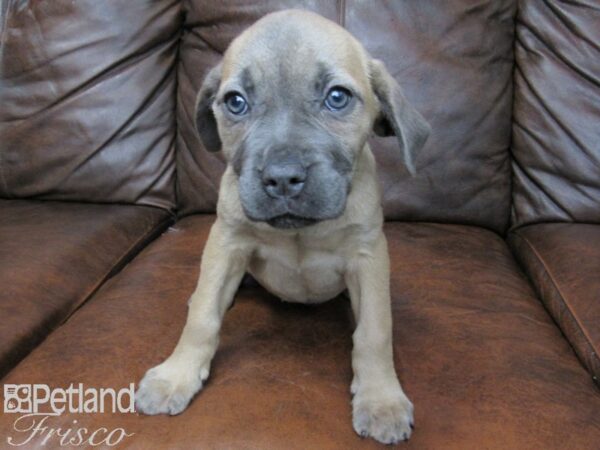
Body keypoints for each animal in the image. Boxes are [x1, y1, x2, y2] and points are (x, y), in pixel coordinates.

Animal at [134, 8, 428, 444]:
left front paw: (380, 399)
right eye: (236, 102)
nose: (283, 178)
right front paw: (177, 375)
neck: (299, 229)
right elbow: (203, 316)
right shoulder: (227, 243)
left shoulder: (368, 255)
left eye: (337, 97)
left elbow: (375, 331)